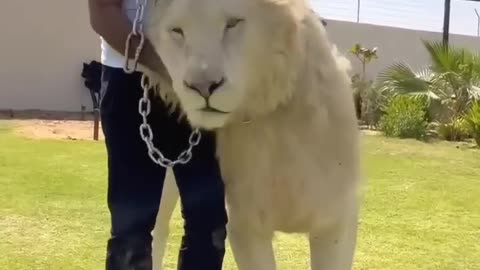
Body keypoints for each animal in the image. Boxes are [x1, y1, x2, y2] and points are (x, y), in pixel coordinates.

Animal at [144, 1, 362, 268]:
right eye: (177, 31)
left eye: (233, 23)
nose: (203, 86)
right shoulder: (245, 226)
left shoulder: (336, 223)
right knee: (156, 232)